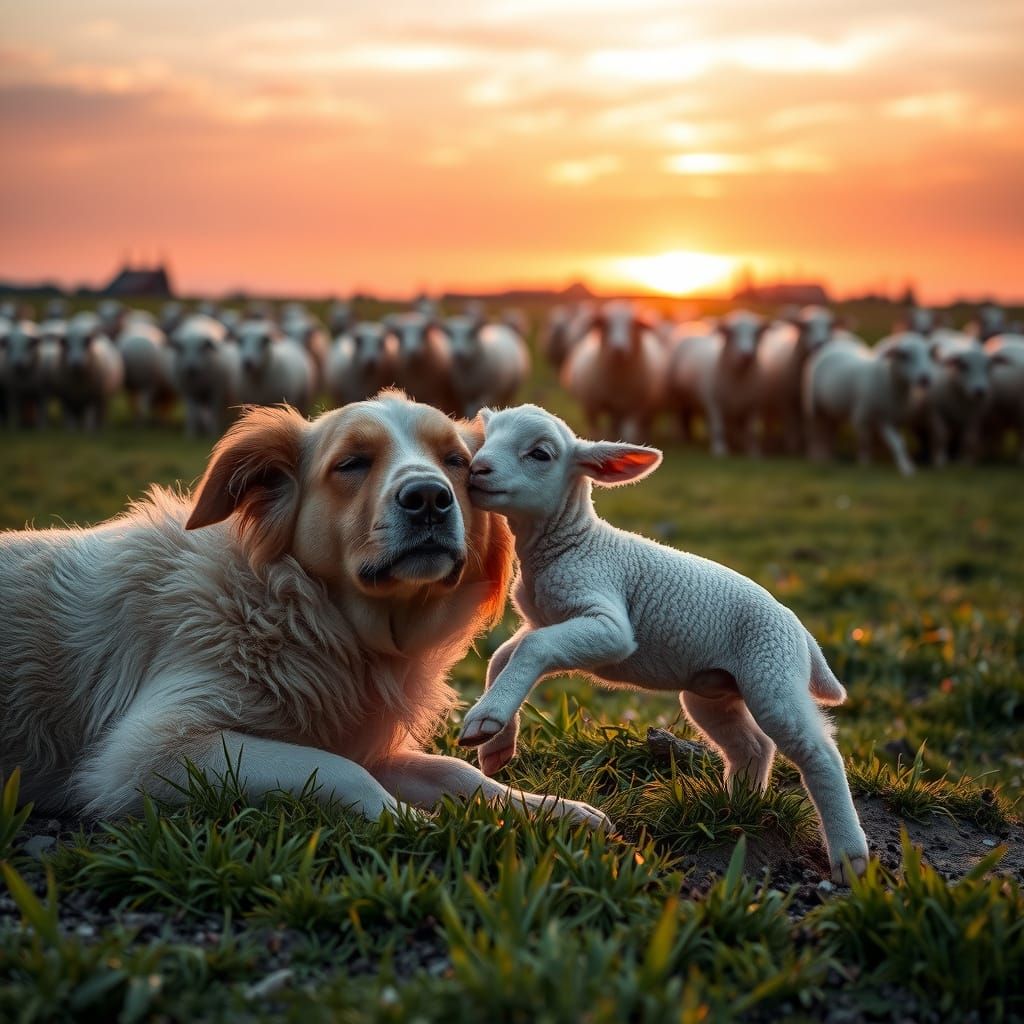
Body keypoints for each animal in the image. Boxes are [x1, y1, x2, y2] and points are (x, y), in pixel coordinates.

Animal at [459, 403, 868, 882]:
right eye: (487, 440)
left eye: (540, 454)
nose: (478, 470)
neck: (568, 544)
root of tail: (800, 630)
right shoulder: (542, 620)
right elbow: (503, 656)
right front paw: (495, 742)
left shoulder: (609, 622)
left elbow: (532, 649)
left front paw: (485, 720)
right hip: (712, 691)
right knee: (753, 745)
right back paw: (737, 808)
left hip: (773, 671)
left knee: (820, 755)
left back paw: (850, 857)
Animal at [561, 300, 666, 443]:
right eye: (606, 324)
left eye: (633, 324)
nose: (618, 349)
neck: (618, 380)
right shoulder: (591, 406)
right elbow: (595, 432)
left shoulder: (636, 408)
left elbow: (632, 434)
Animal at [669, 309, 765, 456]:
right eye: (732, 333)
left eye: (756, 333)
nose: (747, 355)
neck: (739, 379)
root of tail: (693, 327)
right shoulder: (714, 403)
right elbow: (719, 427)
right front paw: (720, 450)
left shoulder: (753, 405)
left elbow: (751, 430)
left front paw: (753, 452)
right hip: (678, 396)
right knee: (680, 417)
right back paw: (682, 438)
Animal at [803, 332, 934, 477]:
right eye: (904, 355)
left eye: (928, 354)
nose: (925, 379)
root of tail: (835, 343)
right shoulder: (863, 417)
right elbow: (866, 440)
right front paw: (864, 461)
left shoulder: (891, 419)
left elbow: (898, 443)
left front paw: (906, 466)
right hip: (814, 405)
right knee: (817, 428)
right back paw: (818, 455)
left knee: (830, 428)